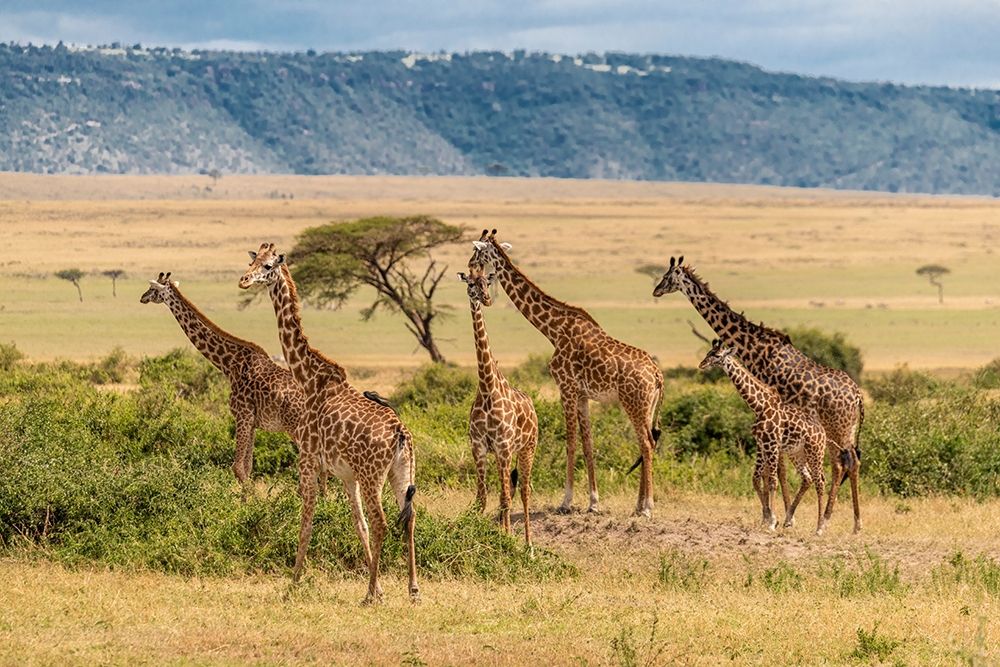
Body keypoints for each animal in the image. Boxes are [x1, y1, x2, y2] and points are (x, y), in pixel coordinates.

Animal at [140, 271, 319, 495]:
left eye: (153, 288)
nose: (142, 297)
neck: (229, 365)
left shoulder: (242, 415)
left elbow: (238, 468)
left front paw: (252, 502)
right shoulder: (252, 421)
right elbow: (247, 467)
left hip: (297, 430)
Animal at [238, 244, 418, 604]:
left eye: (267, 266)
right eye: (251, 261)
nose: (244, 280)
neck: (308, 379)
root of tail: (400, 433)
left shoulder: (308, 460)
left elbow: (306, 521)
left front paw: (293, 583)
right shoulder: (345, 475)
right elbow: (358, 525)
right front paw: (379, 586)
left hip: (372, 475)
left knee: (382, 522)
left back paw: (368, 596)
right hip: (401, 472)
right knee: (408, 519)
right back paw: (413, 590)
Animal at [459, 267, 538, 549]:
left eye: (486, 282)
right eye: (470, 283)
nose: (485, 299)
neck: (487, 388)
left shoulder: (503, 447)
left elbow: (505, 497)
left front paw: (507, 541)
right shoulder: (479, 446)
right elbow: (482, 497)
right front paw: (482, 534)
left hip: (527, 449)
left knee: (523, 491)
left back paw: (528, 544)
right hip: (505, 454)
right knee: (510, 490)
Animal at [469, 230, 664, 517]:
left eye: (477, 252)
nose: (470, 266)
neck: (553, 329)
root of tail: (658, 375)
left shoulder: (566, 388)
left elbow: (570, 442)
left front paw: (566, 501)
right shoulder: (582, 395)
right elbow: (588, 444)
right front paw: (593, 502)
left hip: (634, 403)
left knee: (648, 444)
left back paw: (647, 507)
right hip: (646, 406)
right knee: (645, 443)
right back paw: (638, 505)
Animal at [699, 340, 827, 533]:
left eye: (717, 355)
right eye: (708, 352)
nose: (702, 365)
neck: (758, 405)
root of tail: (823, 433)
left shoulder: (772, 443)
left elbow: (772, 481)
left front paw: (772, 522)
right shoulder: (761, 444)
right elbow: (757, 478)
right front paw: (768, 518)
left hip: (815, 452)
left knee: (820, 481)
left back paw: (819, 528)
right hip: (797, 453)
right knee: (807, 478)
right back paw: (789, 519)